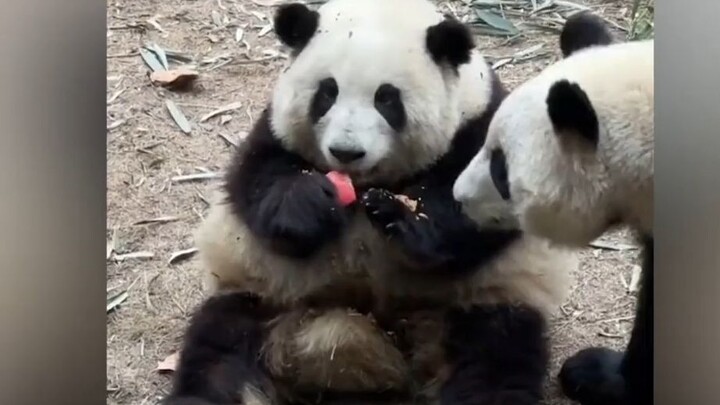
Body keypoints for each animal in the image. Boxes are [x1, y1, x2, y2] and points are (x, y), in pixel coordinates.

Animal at [163, 1, 577, 404]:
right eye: (327, 92)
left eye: (386, 98)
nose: (346, 152)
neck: (366, 183)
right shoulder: (273, 132)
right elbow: (256, 183)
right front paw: (311, 202)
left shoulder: (479, 126)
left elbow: (479, 210)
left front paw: (399, 216)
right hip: (262, 297)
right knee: (221, 350)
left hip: (478, 301)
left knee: (494, 356)